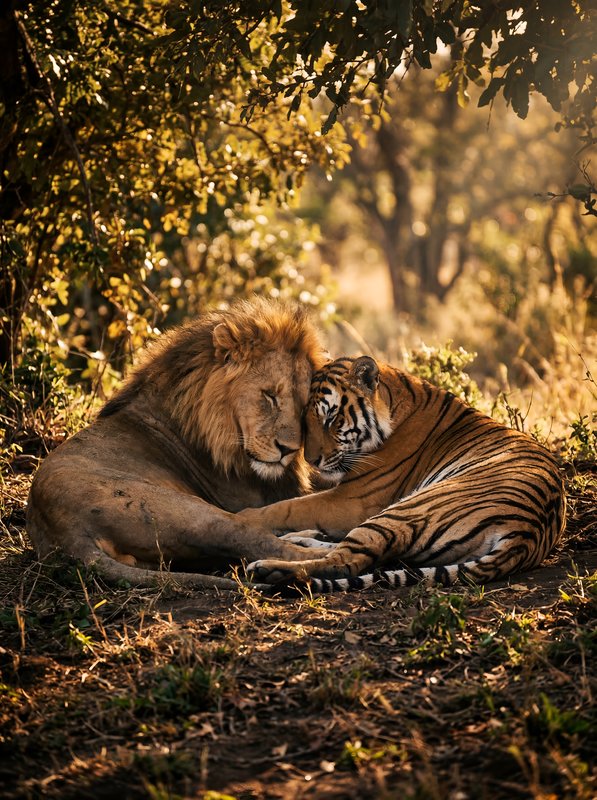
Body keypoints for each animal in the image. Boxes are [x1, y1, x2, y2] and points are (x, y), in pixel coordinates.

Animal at [26, 298, 328, 588]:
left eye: (304, 406)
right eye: (269, 395)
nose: (288, 450)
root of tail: (69, 533)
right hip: (192, 513)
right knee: (259, 538)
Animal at [240, 355, 566, 593]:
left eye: (331, 418)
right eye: (305, 422)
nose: (312, 460)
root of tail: (526, 534)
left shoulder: (352, 500)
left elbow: (285, 507)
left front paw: (244, 516)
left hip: (409, 507)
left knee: (348, 559)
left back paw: (268, 568)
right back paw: (301, 538)